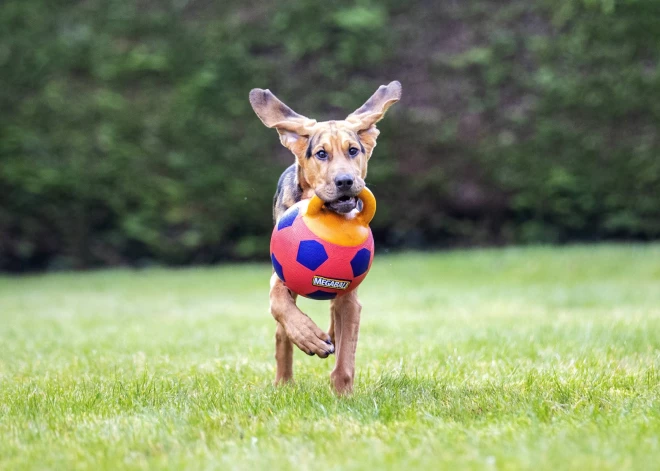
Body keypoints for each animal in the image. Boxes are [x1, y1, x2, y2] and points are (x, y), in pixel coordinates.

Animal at [249, 81, 400, 394]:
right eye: (321, 154)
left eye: (353, 151)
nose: (345, 181)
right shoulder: (281, 274)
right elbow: (280, 304)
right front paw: (308, 336)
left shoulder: (351, 296)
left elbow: (345, 355)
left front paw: (343, 395)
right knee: (281, 335)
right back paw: (284, 382)